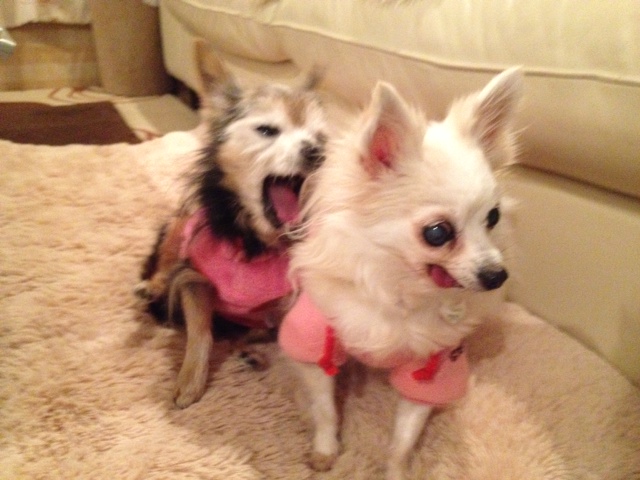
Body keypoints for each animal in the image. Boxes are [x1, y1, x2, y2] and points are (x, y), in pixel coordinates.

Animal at [135, 41, 328, 408]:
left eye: (321, 138)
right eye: (267, 130)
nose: (317, 152)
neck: (256, 241)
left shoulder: (287, 302)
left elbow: (279, 335)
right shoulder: (194, 278)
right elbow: (201, 331)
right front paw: (190, 380)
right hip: (180, 224)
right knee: (165, 262)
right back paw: (152, 285)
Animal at [278, 68, 523, 479]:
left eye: (493, 217)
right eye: (438, 233)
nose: (496, 275)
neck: (400, 288)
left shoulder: (432, 370)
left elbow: (403, 439)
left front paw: (395, 470)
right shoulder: (315, 343)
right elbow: (325, 409)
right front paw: (326, 449)